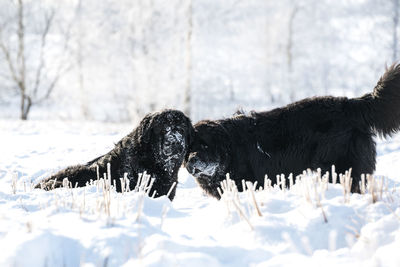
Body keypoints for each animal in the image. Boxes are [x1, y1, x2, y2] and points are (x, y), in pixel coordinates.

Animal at [186, 64, 400, 199]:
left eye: (205, 145)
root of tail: (351, 104)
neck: (229, 151)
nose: (191, 161)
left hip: (337, 166)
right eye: (189, 148)